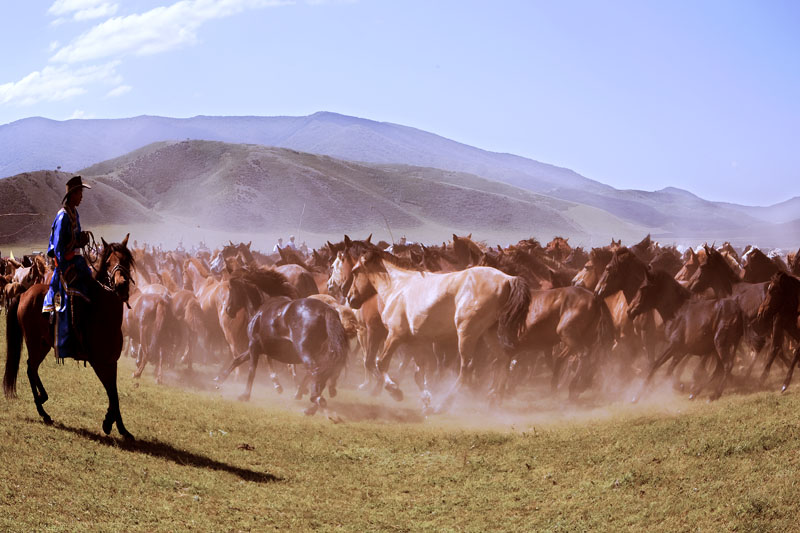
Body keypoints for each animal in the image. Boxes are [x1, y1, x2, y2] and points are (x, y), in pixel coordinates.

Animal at [2, 235, 138, 438]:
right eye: (108, 263)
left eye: (126, 260)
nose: (121, 285)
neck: (102, 313)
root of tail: (25, 293)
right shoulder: (98, 362)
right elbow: (111, 393)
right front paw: (109, 423)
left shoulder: (110, 361)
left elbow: (113, 393)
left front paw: (120, 427)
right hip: (34, 342)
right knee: (30, 368)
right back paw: (43, 408)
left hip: (43, 344)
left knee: (32, 368)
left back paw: (43, 402)